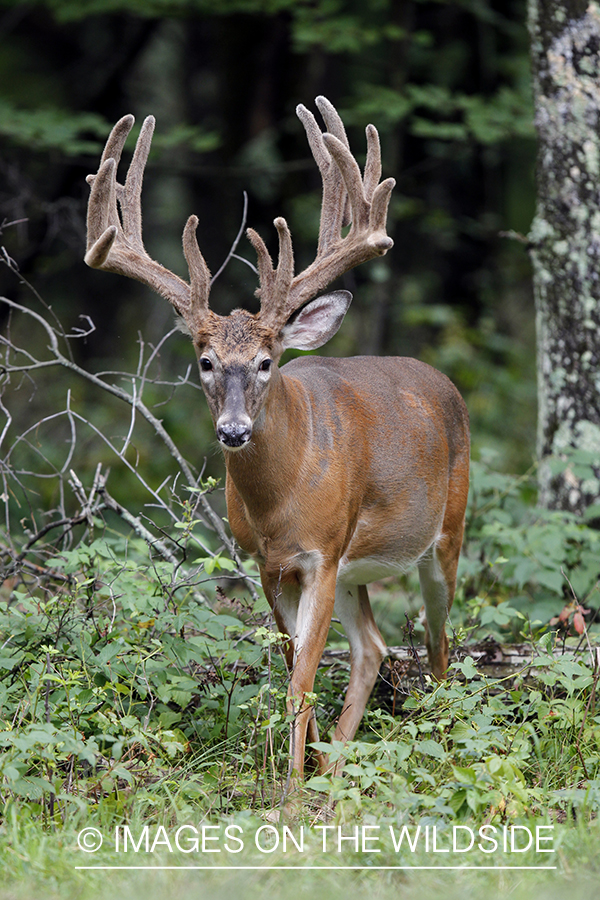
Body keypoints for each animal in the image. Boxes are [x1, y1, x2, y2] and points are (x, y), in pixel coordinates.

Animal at [84, 98, 468, 784]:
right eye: (205, 361)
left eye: (267, 362)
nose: (234, 430)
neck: (280, 501)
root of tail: (444, 383)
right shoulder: (269, 563)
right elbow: (295, 670)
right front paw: (303, 773)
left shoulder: (321, 551)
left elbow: (301, 682)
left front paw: (289, 792)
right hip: (357, 567)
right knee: (372, 647)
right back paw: (337, 766)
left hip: (443, 534)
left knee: (436, 642)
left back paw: (436, 745)